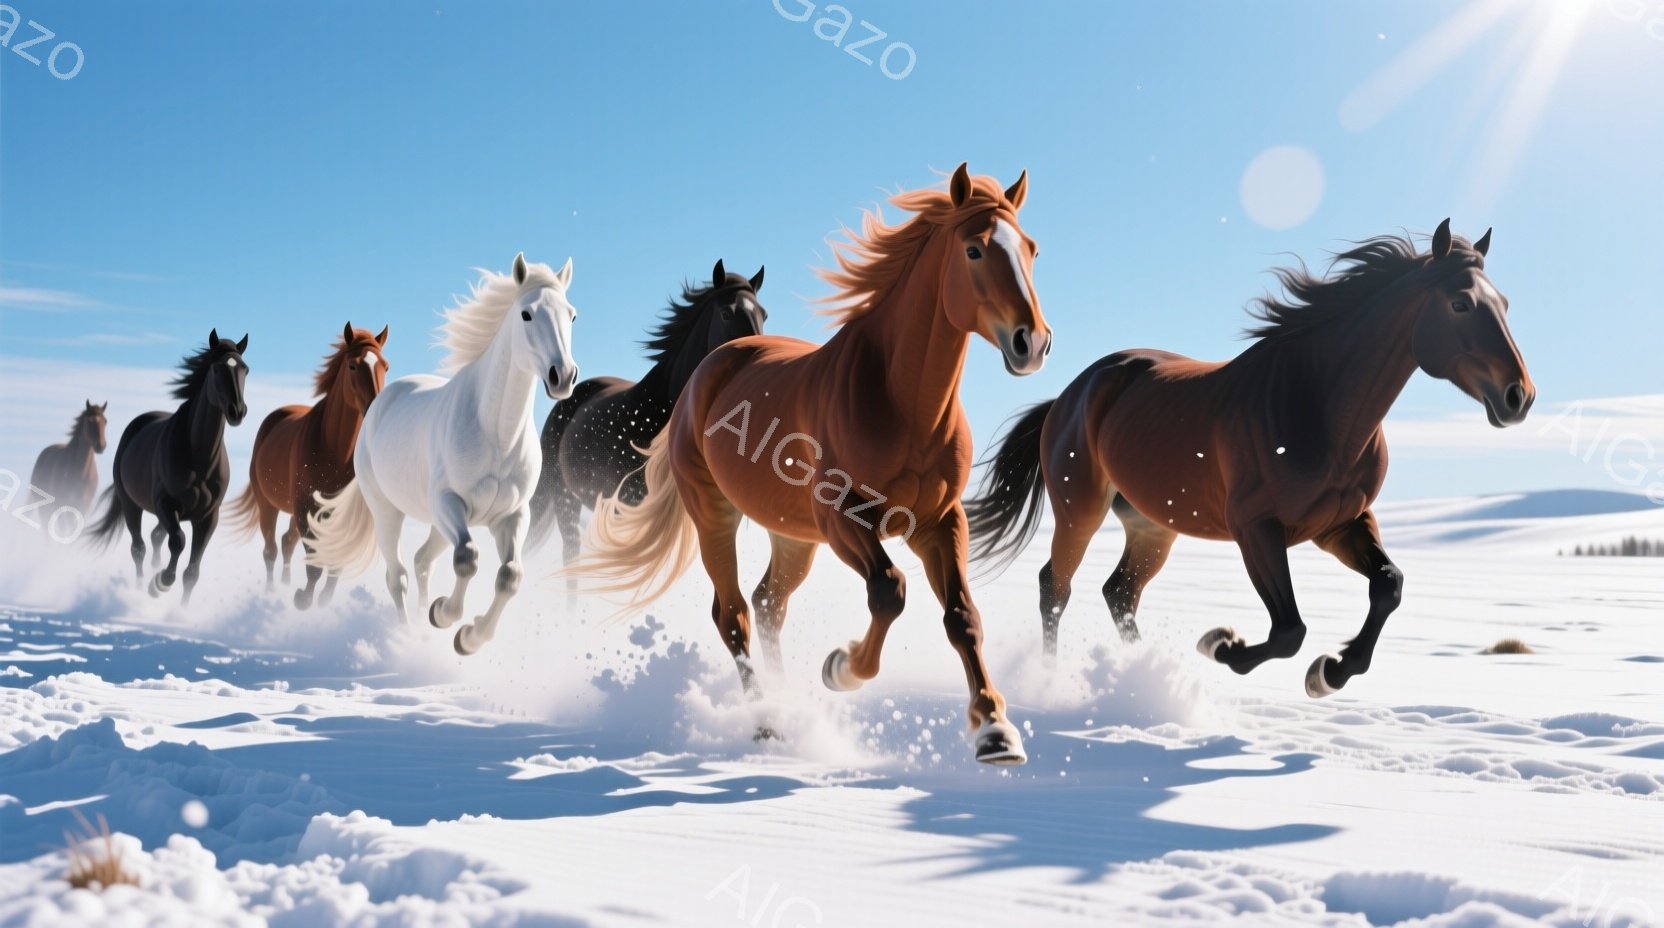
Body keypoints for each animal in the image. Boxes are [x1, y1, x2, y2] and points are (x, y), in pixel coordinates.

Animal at [87, 331, 250, 606]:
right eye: (217, 368)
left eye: (245, 369)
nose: (237, 410)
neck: (199, 458)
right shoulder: (166, 504)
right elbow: (178, 541)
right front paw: (160, 583)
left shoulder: (208, 517)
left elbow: (192, 571)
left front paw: (181, 610)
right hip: (131, 505)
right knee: (139, 548)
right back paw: (140, 587)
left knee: (154, 537)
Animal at [227, 323, 389, 609]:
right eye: (353, 365)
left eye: (386, 366)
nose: (375, 409)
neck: (333, 449)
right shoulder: (305, 508)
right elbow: (313, 561)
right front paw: (303, 599)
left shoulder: (336, 513)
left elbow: (336, 561)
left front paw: (322, 599)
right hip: (269, 505)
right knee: (271, 549)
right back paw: (271, 593)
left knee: (286, 543)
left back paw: (284, 584)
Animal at [307, 254, 580, 654]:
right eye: (527, 314)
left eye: (571, 315)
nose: (563, 376)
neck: (496, 434)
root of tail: (379, 405)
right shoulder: (451, 503)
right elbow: (467, 559)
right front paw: (446, 615)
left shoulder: (512, 515)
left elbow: (510, 576)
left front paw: (469, 636)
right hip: (389, 511)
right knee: (398, 576)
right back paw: (407, 635)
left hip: (436, 520)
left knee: (423, 561)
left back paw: (422, 624)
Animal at [567, 164, 1050, 765]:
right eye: (975, 249)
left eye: (1031, 248)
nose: (1033, 342)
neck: (902, 400)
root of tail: (705, 374)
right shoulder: (843, 519)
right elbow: (890, 590)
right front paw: (841, 667)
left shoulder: (939, 522)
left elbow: (963, 616)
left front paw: (995, 730)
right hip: (716, 516)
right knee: (733, 614)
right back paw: (766, 722)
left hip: (792, 534)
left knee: (768, 603)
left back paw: (786, 702)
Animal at [964, 220, 1534, 697]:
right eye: (1460, 304)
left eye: (1505, 303)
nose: (1519, 397)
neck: (1320, 406)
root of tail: (1070, 393)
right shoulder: (1255, 528)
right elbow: (1289, 630)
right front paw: (1221, 645)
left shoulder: (1341, 524)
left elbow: (1387, 586)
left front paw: (1331, 672)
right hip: (1079, 511)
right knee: (1055, 588)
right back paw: (1050, 680)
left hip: (1153, 527)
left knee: (1119, 593)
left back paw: (1141, 674)